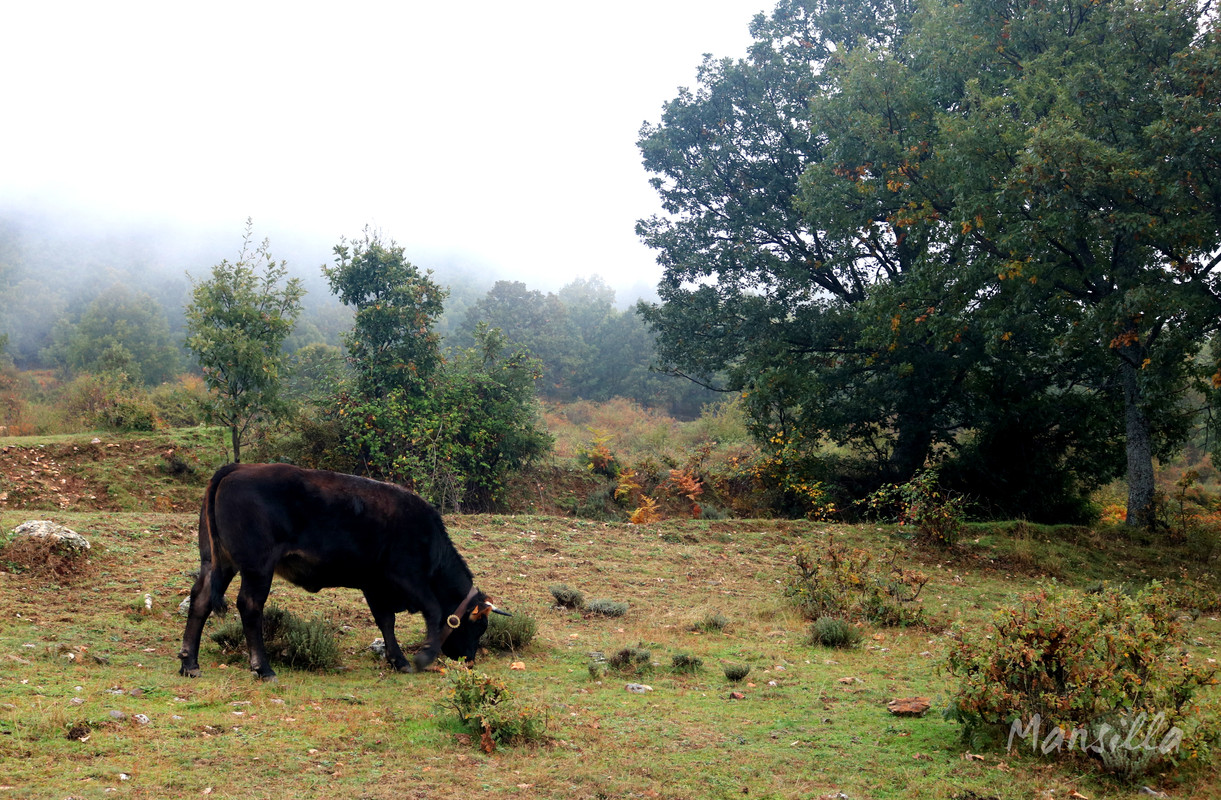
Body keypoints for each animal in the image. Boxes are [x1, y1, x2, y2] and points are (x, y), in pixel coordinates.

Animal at [174, 464, 503, 683]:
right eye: (478, 626)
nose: (470, 660)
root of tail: (239, 467)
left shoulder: (375, 585)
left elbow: (386, 621)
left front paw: (398, 660)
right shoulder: (407, 576)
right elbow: (433, 610)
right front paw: (423, 656)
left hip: (217, 562)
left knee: (201, 599)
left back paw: (190, 663)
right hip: (257, 568)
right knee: (250, 606)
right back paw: (263, 668)